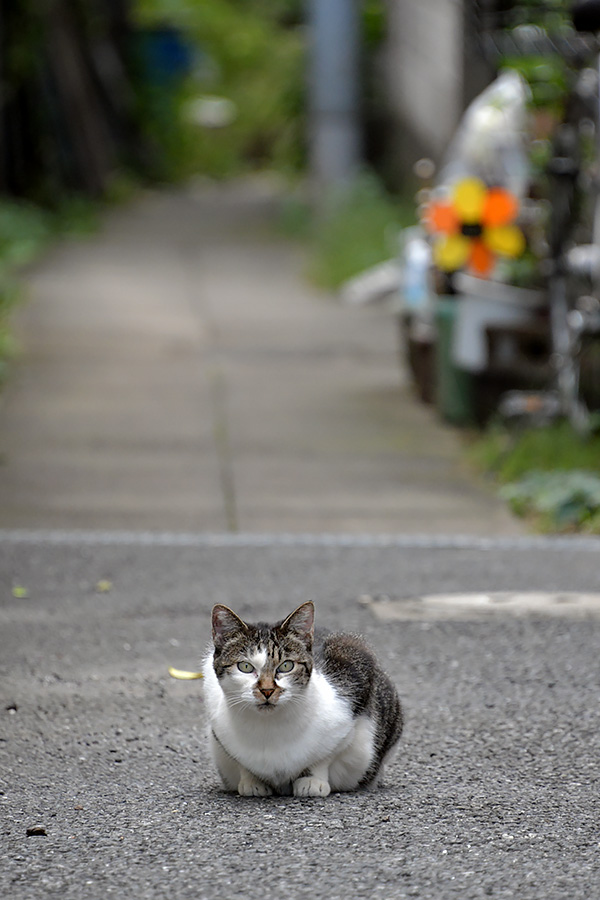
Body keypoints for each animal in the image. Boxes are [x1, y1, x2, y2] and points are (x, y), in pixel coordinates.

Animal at [202, 600, 404, 800]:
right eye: (245, 667)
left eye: (286, 666)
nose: (267, 690)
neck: (269, 727)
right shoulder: (218, 727)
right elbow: (241, 761)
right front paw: (252, 781)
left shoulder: (352, 689)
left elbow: (324, 756)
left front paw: (312, 781)